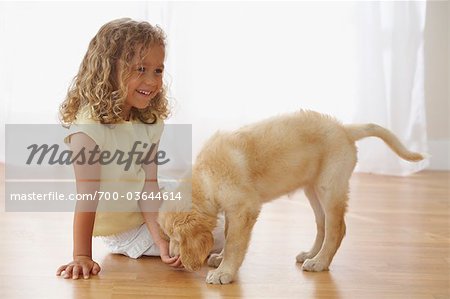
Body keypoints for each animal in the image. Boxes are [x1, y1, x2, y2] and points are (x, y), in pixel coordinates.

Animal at [158, 110, 422, 286]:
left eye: (175, 238)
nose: (170, 256)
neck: (206, 177)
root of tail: (344, 129)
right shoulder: (234, 210)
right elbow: (228, 233)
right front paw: (221, 259)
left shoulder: (245, 208)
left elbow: (234, 242)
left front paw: (225, 272)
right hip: (312, 189)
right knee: (322, 225)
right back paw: (311, 254)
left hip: (329, 187)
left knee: (337, 228)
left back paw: (320, 262)